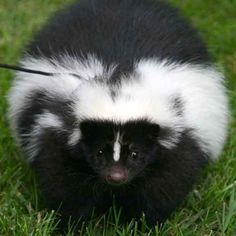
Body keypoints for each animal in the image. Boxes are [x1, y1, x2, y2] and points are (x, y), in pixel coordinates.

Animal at [7, 0, 229, 229]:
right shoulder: (54, 128)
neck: (119, 81)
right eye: (99, 152)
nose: (116, 176)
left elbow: (163, 186)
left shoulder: (179, 141)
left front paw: (144, 225)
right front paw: (70, 225)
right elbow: (65, 184)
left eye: (135, 153)